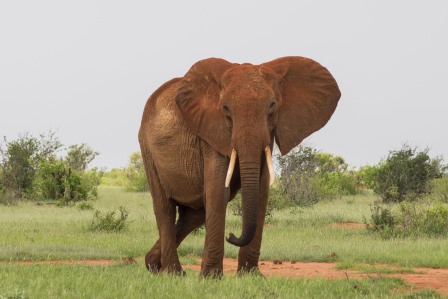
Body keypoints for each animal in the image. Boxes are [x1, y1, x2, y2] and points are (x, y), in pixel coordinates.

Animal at [138, 56, 342, 278]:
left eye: (272, 105)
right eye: (225, 108)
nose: (231, 235)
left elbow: (261, 192)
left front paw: (250, 276)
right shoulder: (211, 132)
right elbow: (219, 192)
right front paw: (211, 278)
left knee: (194, 214)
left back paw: (153, 264)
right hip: (147, 148)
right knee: (165, 208)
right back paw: (173, 273)